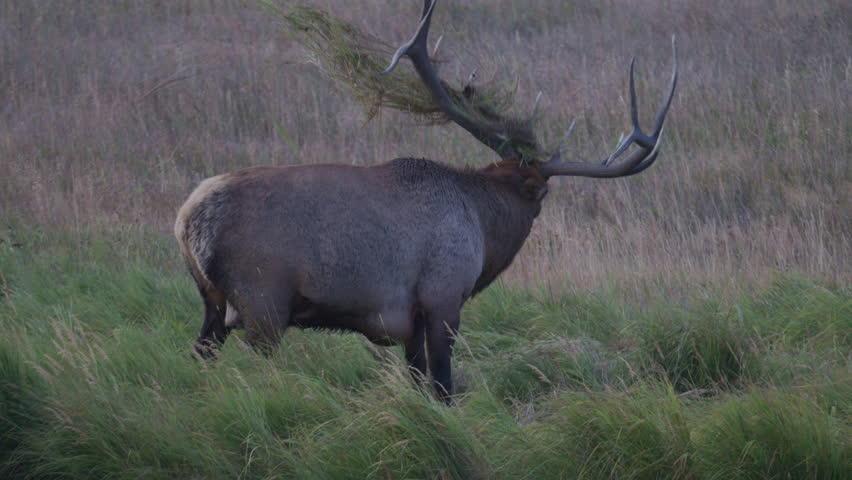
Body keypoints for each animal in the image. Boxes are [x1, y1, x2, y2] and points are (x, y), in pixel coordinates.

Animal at [174, 0, 678, 403]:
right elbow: (443, 387)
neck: (483, 225)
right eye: (539, 193)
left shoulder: (410, 321)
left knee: (199, 355)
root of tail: (184, 221)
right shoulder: (442, 297)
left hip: (213, 302)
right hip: (262, 301)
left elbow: (419, 384)